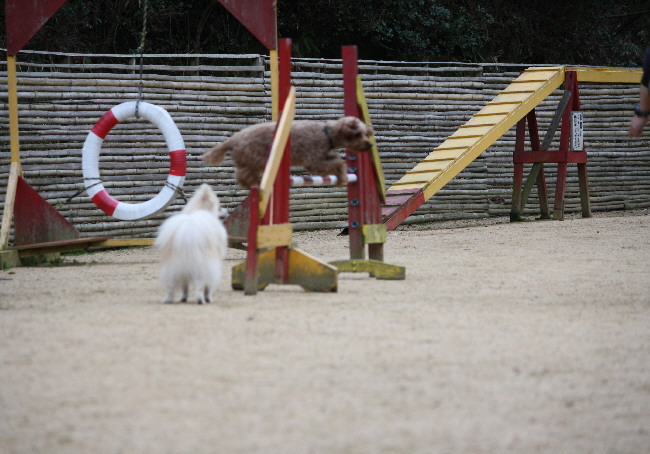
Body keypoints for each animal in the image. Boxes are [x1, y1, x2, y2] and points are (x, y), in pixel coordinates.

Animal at [202, 116, 374, 188]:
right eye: (358, 134)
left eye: (365, 133)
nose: (370, 144)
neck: (327, 133)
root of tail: (234, 138)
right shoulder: (313, 161)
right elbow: (337, 163)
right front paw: (340, 178)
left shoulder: (323, 156)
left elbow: (337, 160)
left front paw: (341, 176)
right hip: (256, 159)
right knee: (243, 175)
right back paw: (254, 184)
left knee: (240, 175)